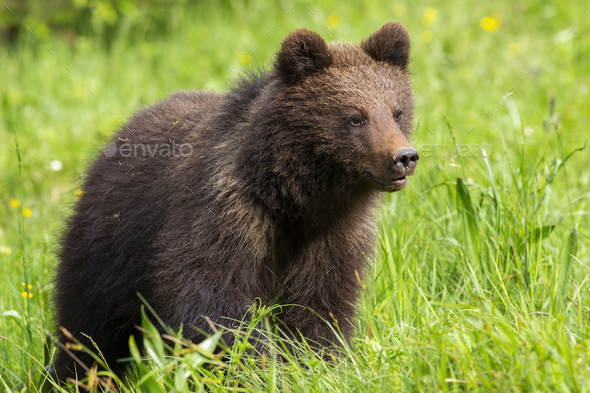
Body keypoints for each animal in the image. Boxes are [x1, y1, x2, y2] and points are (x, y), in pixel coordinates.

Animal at [53, 20, 418, 380]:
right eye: (355, 116)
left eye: (397, 112)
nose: (404, 157)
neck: (294, 199)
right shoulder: (224, 214)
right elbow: (212, 301)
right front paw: (257, 367)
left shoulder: (334, 236)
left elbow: (320, 306)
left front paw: (315, 363)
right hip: (109, 246)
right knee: (88, 328)